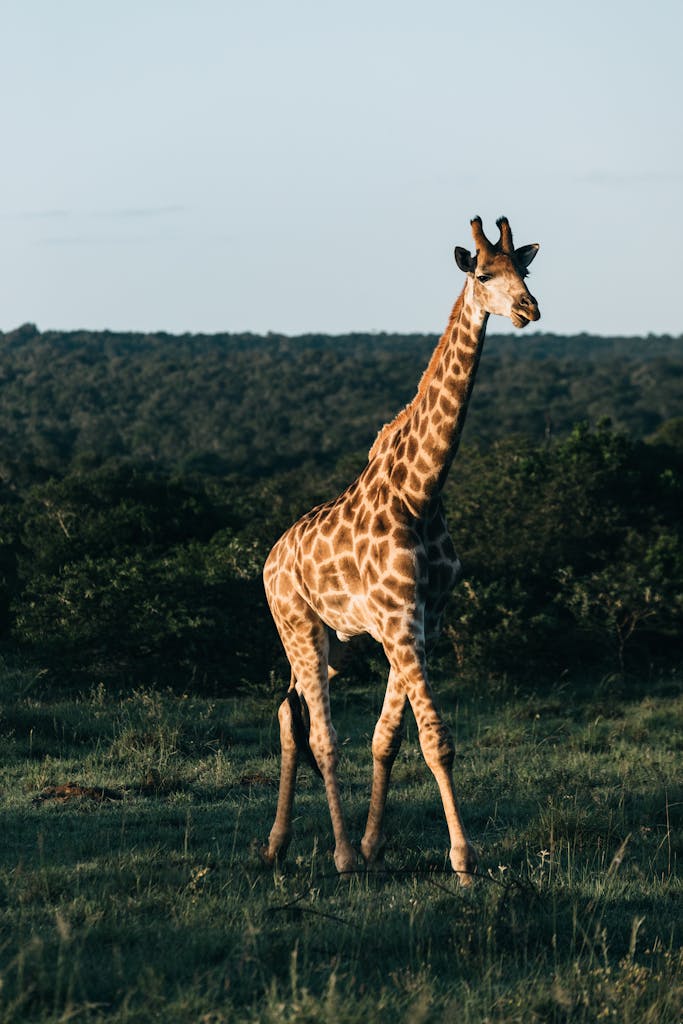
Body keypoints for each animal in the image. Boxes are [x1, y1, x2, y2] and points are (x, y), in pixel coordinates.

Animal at [261, 216, 540, 882]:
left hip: (331, 642)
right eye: (483, 273)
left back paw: (278, 845)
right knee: (321, 735)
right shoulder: (398, 625)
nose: (528, 309)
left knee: (288, 714)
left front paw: (374, 844)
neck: (422, 492)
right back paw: (336, 856)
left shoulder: (419, 624)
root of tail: (270, 559)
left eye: (526, 269)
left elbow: (388, 738)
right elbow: (435, 738)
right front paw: (462, 859)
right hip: (298, 626)